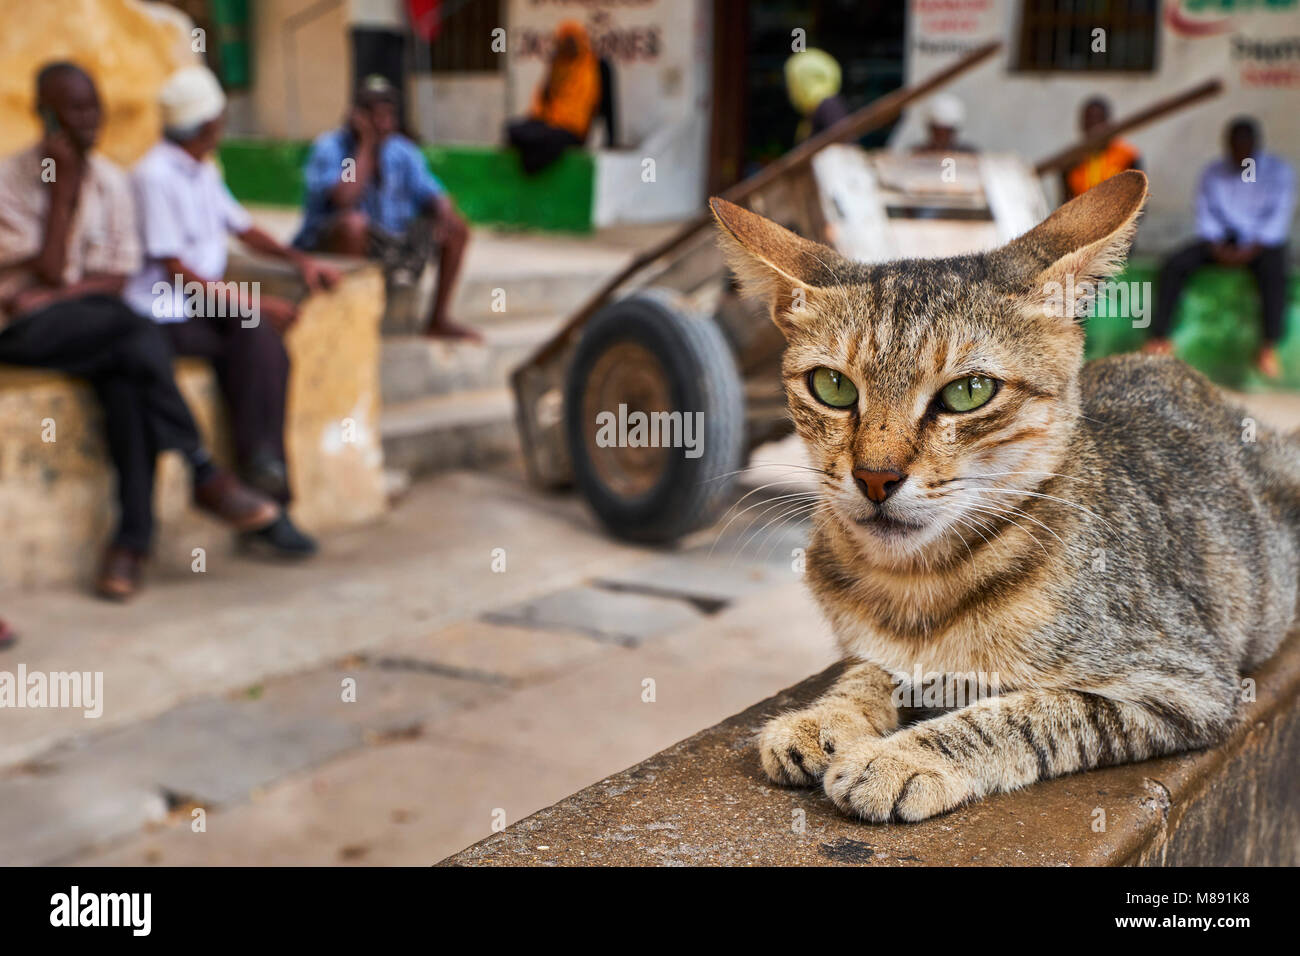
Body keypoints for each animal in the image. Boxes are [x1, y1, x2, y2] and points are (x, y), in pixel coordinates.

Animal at [712, 171, 1300, 822]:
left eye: (969, 392)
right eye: (833, 386)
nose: (875, 476)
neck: (914, 587)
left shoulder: (1183, 682)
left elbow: (1025, 714)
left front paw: (898, 756)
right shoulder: (877, 647)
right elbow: (867, 669)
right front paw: (825, 717)